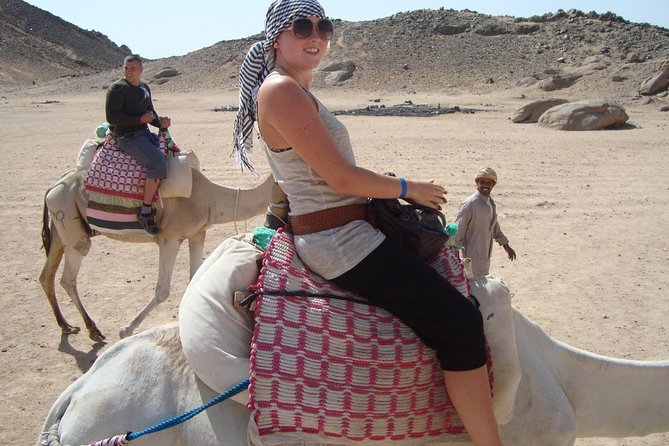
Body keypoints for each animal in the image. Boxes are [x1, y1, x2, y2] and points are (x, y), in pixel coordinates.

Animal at [39, 143, 274, 342]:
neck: (209, 198)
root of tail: (51, 187)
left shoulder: (197, 234)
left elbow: (194, 278)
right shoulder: (169, 238)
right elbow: (162, 291)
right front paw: (126, 330)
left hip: (60, 229)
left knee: (46, 275)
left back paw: (66, 326)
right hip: (70, 225)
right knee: (68, 277)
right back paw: (93, 330)